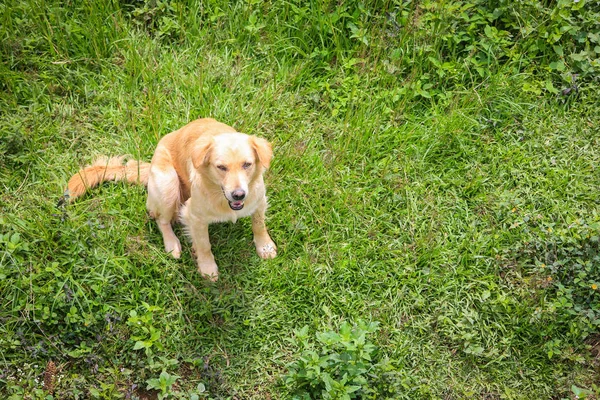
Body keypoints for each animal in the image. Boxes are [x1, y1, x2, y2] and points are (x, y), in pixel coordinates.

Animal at [67, 118, 278, 282]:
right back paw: (172, 244)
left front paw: (265, 246)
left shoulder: (259, 200)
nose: (239, 195)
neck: (220, 196)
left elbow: (259, 224)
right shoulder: (194, 216)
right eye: (221, 167)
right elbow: (204, 244)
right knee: (161, 219)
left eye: (247, 164)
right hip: (168, 183)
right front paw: (208, 267)